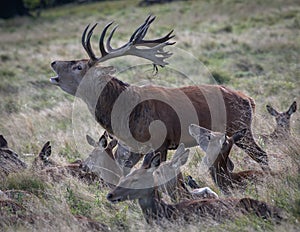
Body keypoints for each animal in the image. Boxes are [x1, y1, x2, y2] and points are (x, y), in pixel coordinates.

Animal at [50, 14, 268, 170]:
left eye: (78, 66)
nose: (53, 62)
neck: (124, 114)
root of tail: (249, 99)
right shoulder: (133, 147)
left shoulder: (161, 142)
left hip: (241, 127)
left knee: (262, 155)